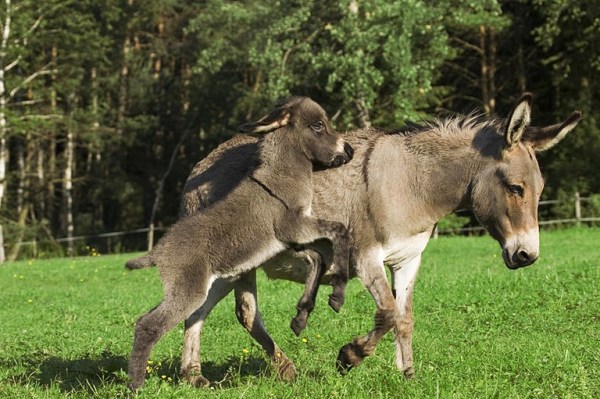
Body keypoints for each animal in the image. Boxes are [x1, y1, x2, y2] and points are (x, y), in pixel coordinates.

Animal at [126, 97, 352, 390]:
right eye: (318, 125)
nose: (350, 150)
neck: (281, 176)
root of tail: (157, 251)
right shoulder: (294, 225)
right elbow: (339, 231)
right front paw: (337, 295)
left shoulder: (291, 240)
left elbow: (318, 258)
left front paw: (302, 316)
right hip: (191, 289)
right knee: (150, 324)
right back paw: (136, 386)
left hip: (191, 287)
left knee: (153, 318)